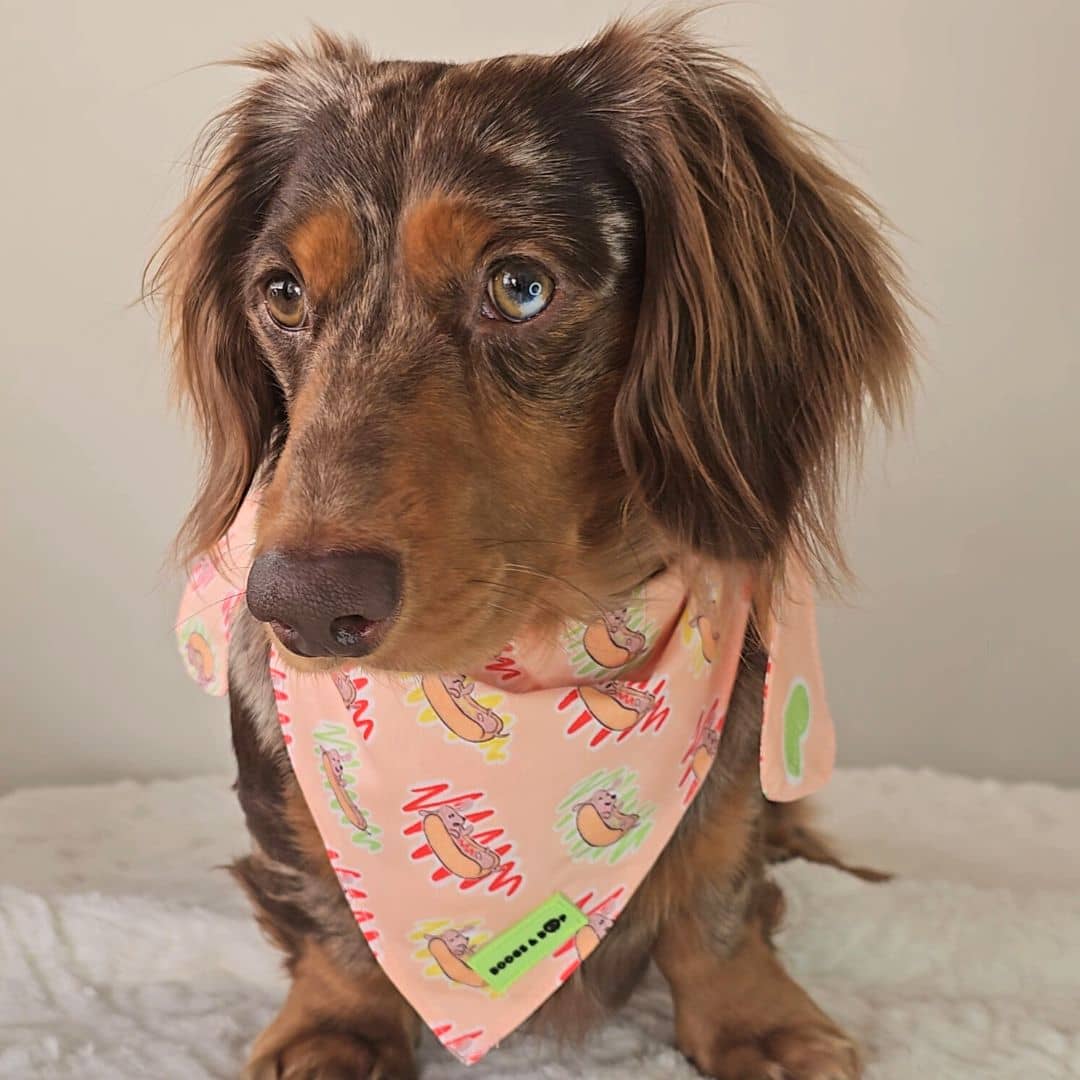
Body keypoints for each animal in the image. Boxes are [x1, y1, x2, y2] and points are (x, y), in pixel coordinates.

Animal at [150, 16, 911, 1080]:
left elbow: (717, 895)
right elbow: (325, 907)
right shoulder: (283, 791)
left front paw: (759, 1019)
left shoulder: (738, 761)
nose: (298, 606)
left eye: (519, 287)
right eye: (284, 294)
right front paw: (335, 1027)